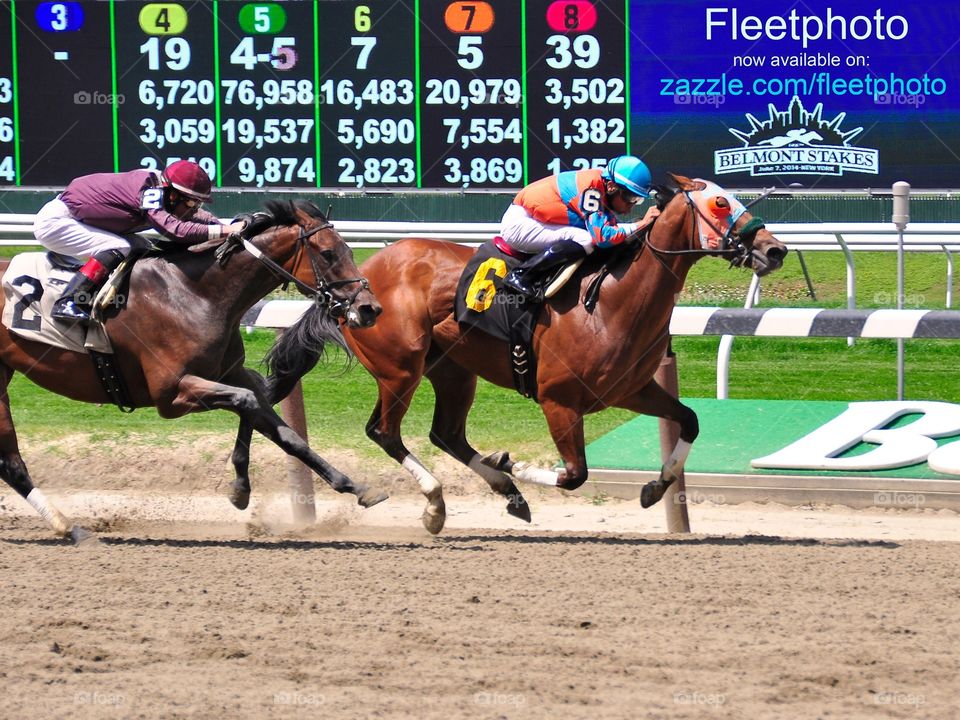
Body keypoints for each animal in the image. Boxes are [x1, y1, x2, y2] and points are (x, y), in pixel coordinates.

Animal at [0, 199, 384, 543]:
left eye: (349, 249)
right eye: (328, 254)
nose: (370, 309)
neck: (194, 293)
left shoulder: (232, 373)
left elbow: (278, 425)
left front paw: (354, 487)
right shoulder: (171, 395)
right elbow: (248, 402)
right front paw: (241, 487)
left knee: (11, 462)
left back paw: (68, 526)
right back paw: (72, 528)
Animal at [236, 175, 788, 534]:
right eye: (720, 204)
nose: (774, 249)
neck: (612, 300)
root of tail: (355, 284)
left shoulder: (631, 390)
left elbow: (689, 419)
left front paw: (656, 488)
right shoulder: (558, 401)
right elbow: (575, 474)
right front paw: (515, 463)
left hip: (454, 371)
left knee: (447, 434)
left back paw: (506, 491)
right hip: (400, 368)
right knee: (385, 431)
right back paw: (438, 503)